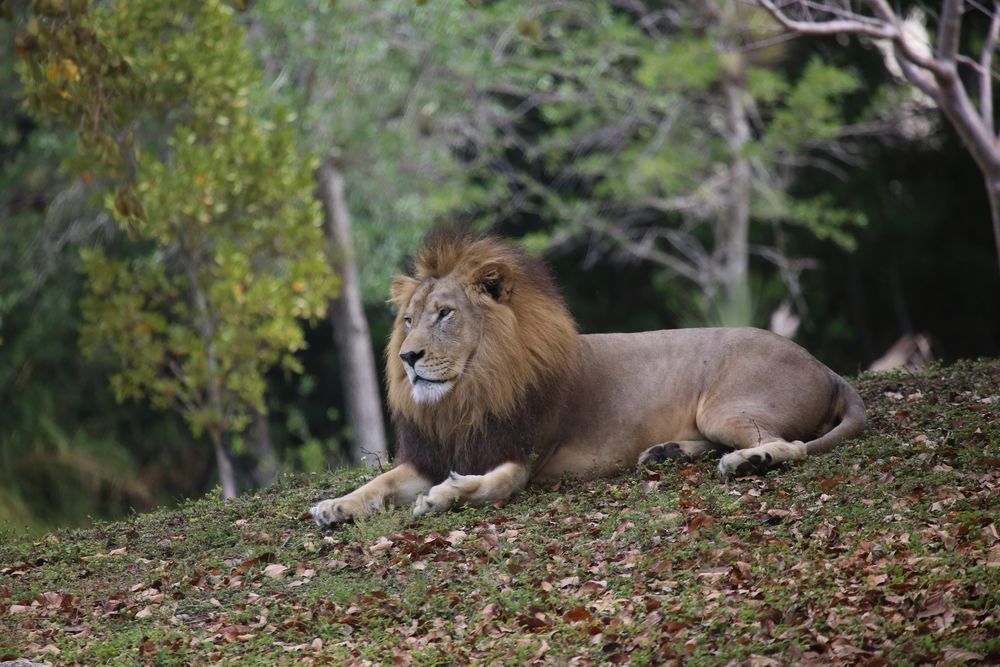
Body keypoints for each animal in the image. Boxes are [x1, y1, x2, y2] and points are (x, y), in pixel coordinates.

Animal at [308, 232, 864, 524]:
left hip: (725, 407)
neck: (466, 397)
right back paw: (667, 452)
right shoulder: (431, 454)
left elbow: (489, 485)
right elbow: (378, 482)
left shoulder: (524, 455)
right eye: (407, 319)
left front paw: (444, 496)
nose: (407, 357)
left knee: (790, 446)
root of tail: (824, 366)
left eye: (444, 314)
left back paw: (748, 461)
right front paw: (335, 505)